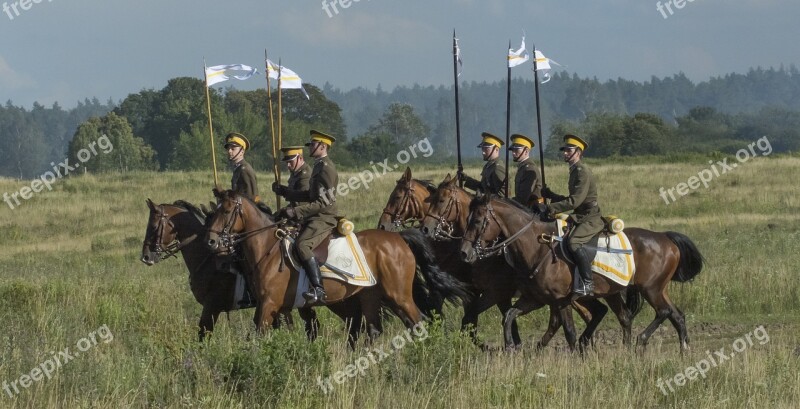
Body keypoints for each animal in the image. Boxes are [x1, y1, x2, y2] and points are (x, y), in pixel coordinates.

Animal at [205, 190, 476, 342]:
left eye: (226, 211)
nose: (211, 241)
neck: (268, 249)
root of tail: (399, 238)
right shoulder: (276, 308)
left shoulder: (269, 305)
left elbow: (258, 338)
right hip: (371, 295)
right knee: (377, 330)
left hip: (398, 295)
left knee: (417, 321)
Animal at [460, 194, 704, 350]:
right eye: (467, 218)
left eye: (478, 220)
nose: (465, 252)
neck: (538, 247)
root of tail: (664, 237)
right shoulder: (535, 299)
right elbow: (509, 315)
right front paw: (511, 345)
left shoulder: (560, 300)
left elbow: (568, 331)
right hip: (643, 290)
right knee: (672, 316)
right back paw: (681, 350)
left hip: (650, 289)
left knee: (663, 312)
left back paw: (640, 341)